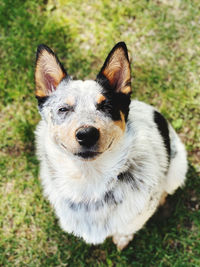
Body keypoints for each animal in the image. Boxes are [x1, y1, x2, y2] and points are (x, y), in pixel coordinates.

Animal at [34, 42, 188, 251]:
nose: (87, 134)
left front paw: (123, 238)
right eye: (63, 109)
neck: (90, 181)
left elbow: (128, 226)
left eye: (106, 106)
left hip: (177, 170)